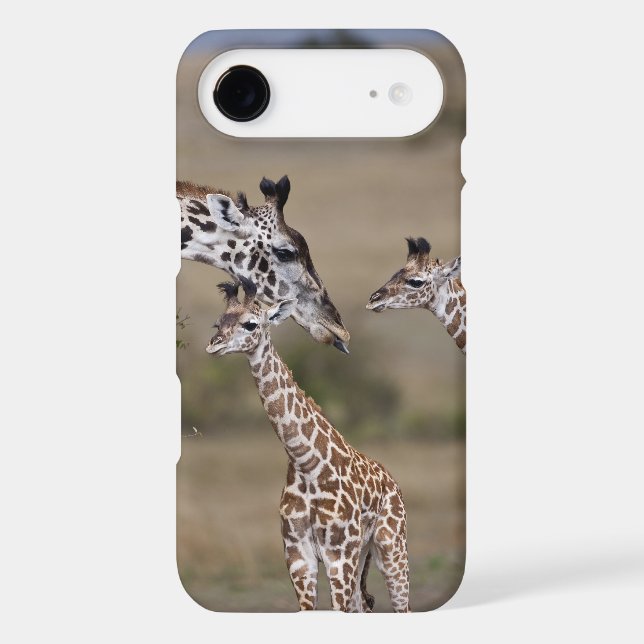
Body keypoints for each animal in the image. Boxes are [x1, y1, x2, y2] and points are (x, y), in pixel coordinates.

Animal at [206, 277, 410, 613]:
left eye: (251, 324)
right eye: (218, 322)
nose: (214, 345)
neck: (306, 462)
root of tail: (391, 480)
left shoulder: (339, 556)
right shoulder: (297, 556)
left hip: (392, 547)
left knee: (401, 605)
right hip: (363, 555)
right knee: (363, 605)